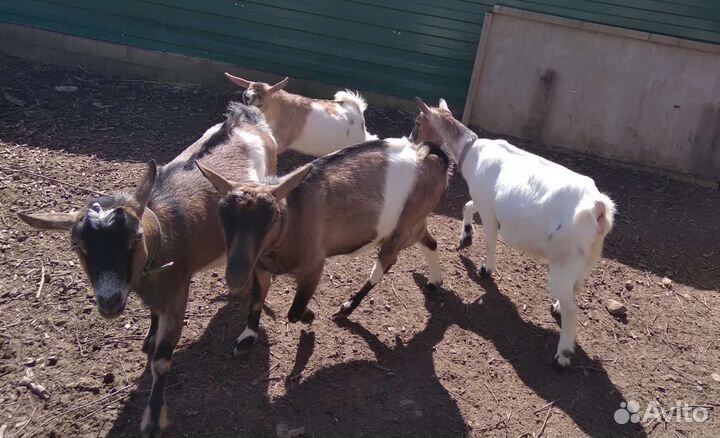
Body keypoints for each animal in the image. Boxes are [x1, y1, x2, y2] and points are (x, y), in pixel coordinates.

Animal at [17, 103, 278, 437]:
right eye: (78, 246)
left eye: (135, 238)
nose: (110, 301)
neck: (163, 232)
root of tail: (246, 119)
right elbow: (153, 315)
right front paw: (149, 338)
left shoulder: (179, 287)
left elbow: (162, 359)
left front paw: (154, 417)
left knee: (262, 281)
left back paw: (247, 335)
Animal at [195, 137, 450, 354]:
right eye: (221, 216)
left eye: (272, 218)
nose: (235, 277)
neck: (292, 220)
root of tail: (431, 159)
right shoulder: (259, 267)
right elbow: (256, 301)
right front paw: (247, 337)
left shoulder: (314, 267)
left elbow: (295, 311)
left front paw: (309, 315)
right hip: (415, 225)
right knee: (431, 242)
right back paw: (434, 282)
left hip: (402, 231)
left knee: (385, 265)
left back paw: (347, 308)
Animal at [410, 98, 616, 369]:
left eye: (418, 122)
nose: (410, 141)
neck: (471, 150)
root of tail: (598, 208)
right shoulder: (485, 201)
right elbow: (467, 206)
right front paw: (466, 236)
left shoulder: (488, 208)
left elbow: (490, 240)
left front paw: (485, 269)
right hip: (586, 259)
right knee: (575, 288)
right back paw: (558, 308)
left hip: (564, 260)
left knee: (573, 311)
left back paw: (562, 354)